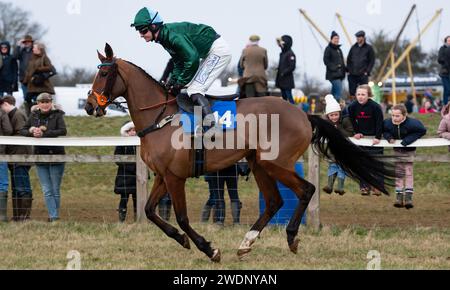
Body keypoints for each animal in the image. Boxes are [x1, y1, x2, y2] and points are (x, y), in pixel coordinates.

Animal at [85, 43, 394, 262]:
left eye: (104, 73)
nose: (90, 106)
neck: (161, 117)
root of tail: (304, 114)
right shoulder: (163, 175)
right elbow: (150, 212)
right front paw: (182, 240)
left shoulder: (175, 177)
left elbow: (182, 217)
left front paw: (208, 248)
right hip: (258, 164)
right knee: (274, 201)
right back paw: (246, 243)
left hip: (275, 163)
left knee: (305, 190)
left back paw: (291, 237)